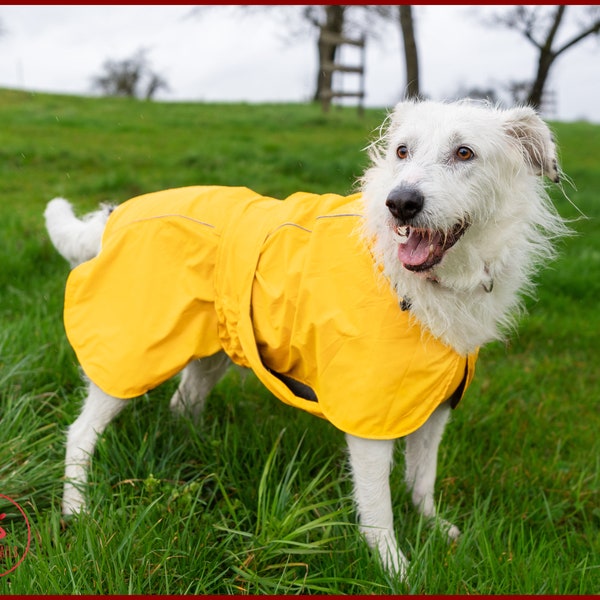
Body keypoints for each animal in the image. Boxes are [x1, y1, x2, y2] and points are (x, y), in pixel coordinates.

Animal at [44, 101, 568, 584]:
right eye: (402, 151)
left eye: (464, 153)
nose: (400, 203)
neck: (415, 281)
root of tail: (116, 214)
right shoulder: (369, 420)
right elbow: (378, 510)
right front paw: (395, 570)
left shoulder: (436, 406)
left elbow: (422, 480)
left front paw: (435, 529)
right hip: (130, 353)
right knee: (80, 435)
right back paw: (76, 510)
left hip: (213, 350)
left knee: (182, 405)